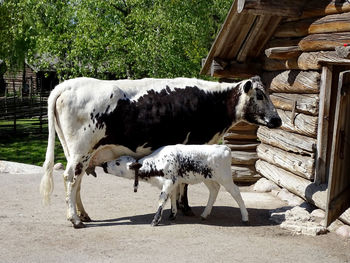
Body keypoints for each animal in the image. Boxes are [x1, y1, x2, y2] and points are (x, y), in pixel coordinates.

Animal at [102, 144, 249, 227]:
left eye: (117, 163)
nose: (104, 164)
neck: (156, 164)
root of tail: (224, 147)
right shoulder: (174, 183)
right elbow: (172, 198)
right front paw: (172, 215)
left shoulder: (169, 182)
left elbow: (162, 200)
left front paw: (155, 220)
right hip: (208, 178)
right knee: (214, 190)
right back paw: (204, 214)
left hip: (225, 177)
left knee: (236, 192)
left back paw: (245, 217)